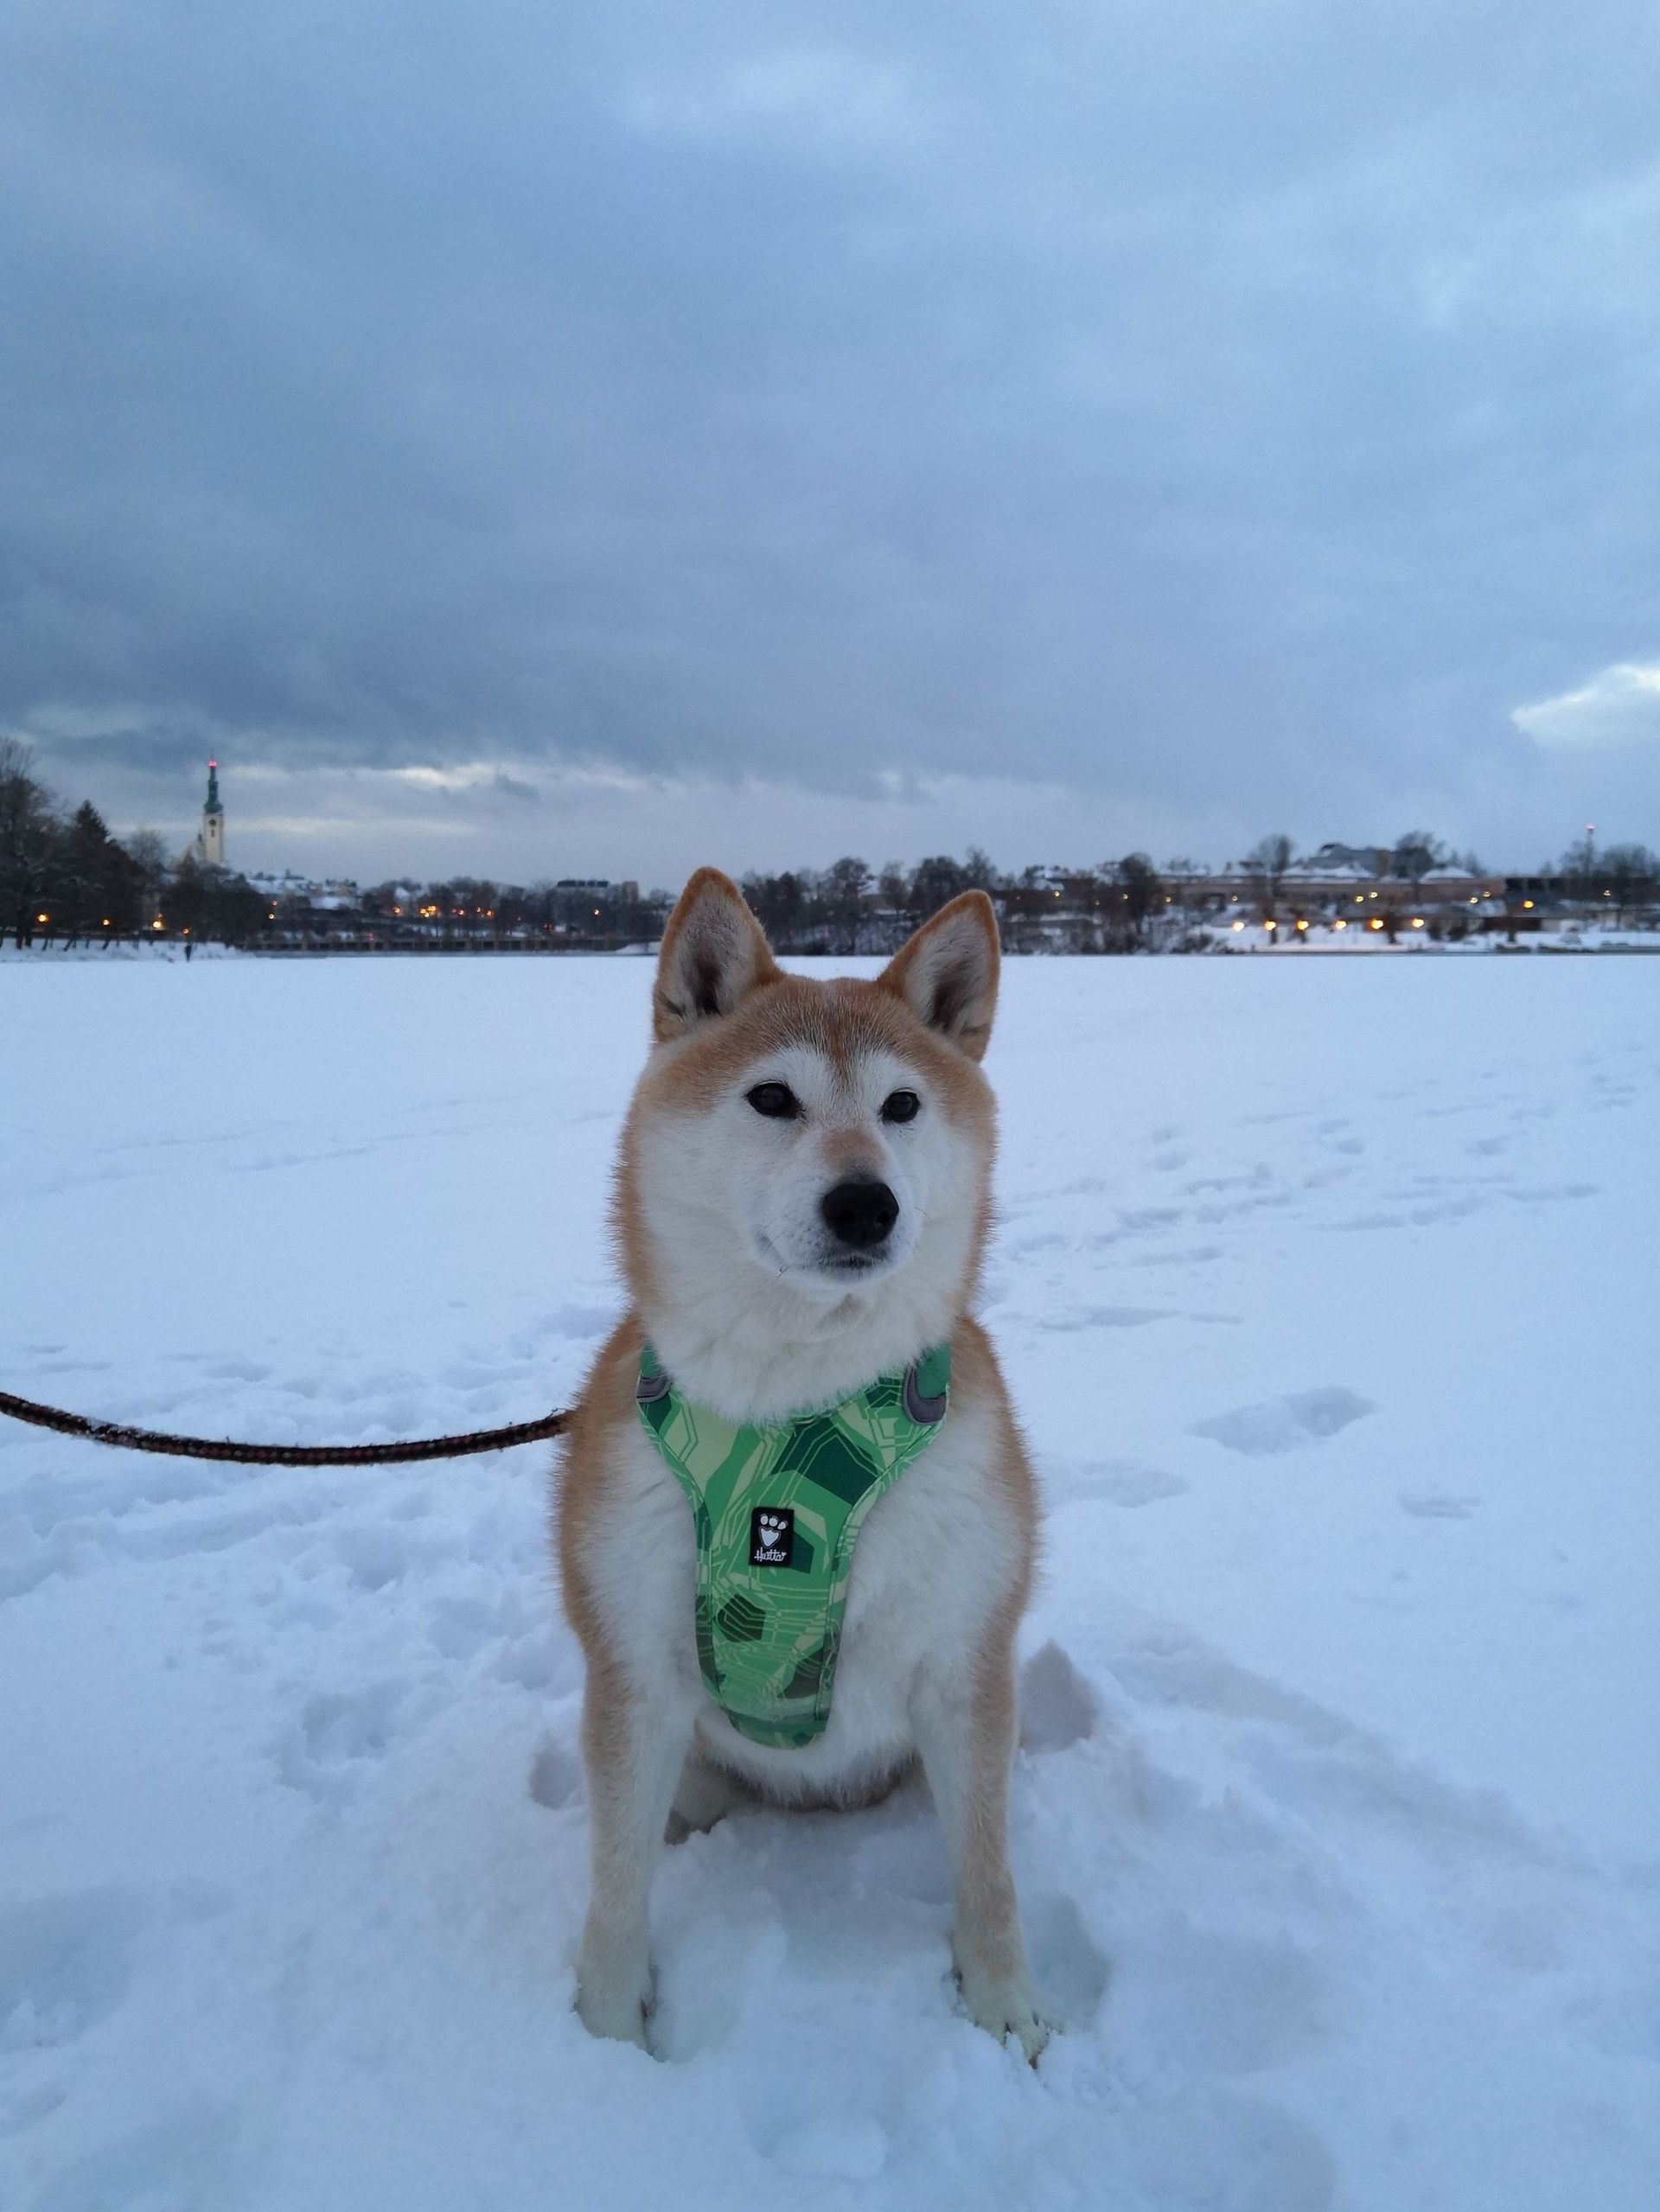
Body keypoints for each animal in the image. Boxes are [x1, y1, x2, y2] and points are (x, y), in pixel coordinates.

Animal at [559, 863, 1053, 2052]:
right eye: (773, 1099)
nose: (865, 1202)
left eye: (902, 1106)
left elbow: (988, 1876)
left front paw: (1004, 2002)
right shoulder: (633, 1671)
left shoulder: (965, 1658)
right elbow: (613, 1883)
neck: (794, 1423)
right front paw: (607, 2034)